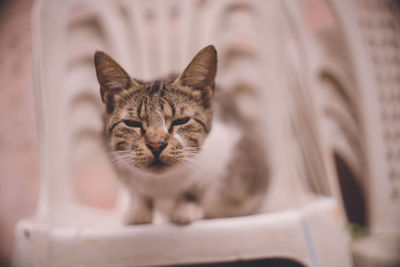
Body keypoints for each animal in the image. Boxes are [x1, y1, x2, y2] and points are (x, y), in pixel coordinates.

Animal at [94, 45, 268, 225]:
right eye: (132, 123)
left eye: (181, 120)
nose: (156, 144)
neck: (163, 184)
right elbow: (137, 192)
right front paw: (139, 212)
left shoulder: (225, 153)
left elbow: (196, 188)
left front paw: (186, 209)